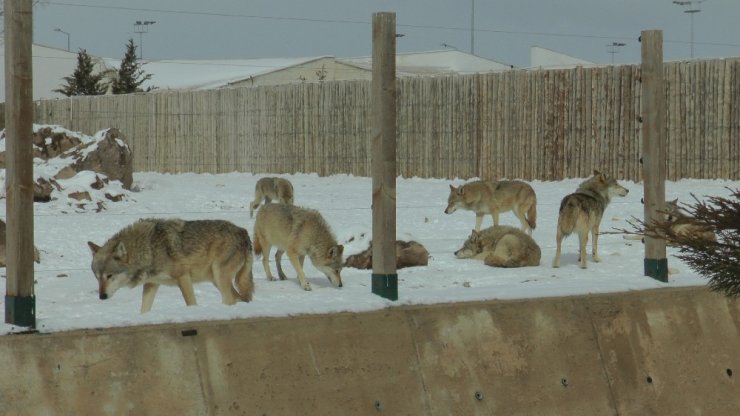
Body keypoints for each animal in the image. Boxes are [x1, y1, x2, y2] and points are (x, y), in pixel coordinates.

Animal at [86, 219, 254, 314]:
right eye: (97, 278)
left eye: (109, 276)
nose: (101, 296)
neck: (150, 248)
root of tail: (244, 232)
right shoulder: (151, 284)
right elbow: (144, 310)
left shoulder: (183, 277)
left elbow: (191, 303)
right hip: (217, 280)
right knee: (240, 299)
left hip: (219, 277)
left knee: (231, 300)